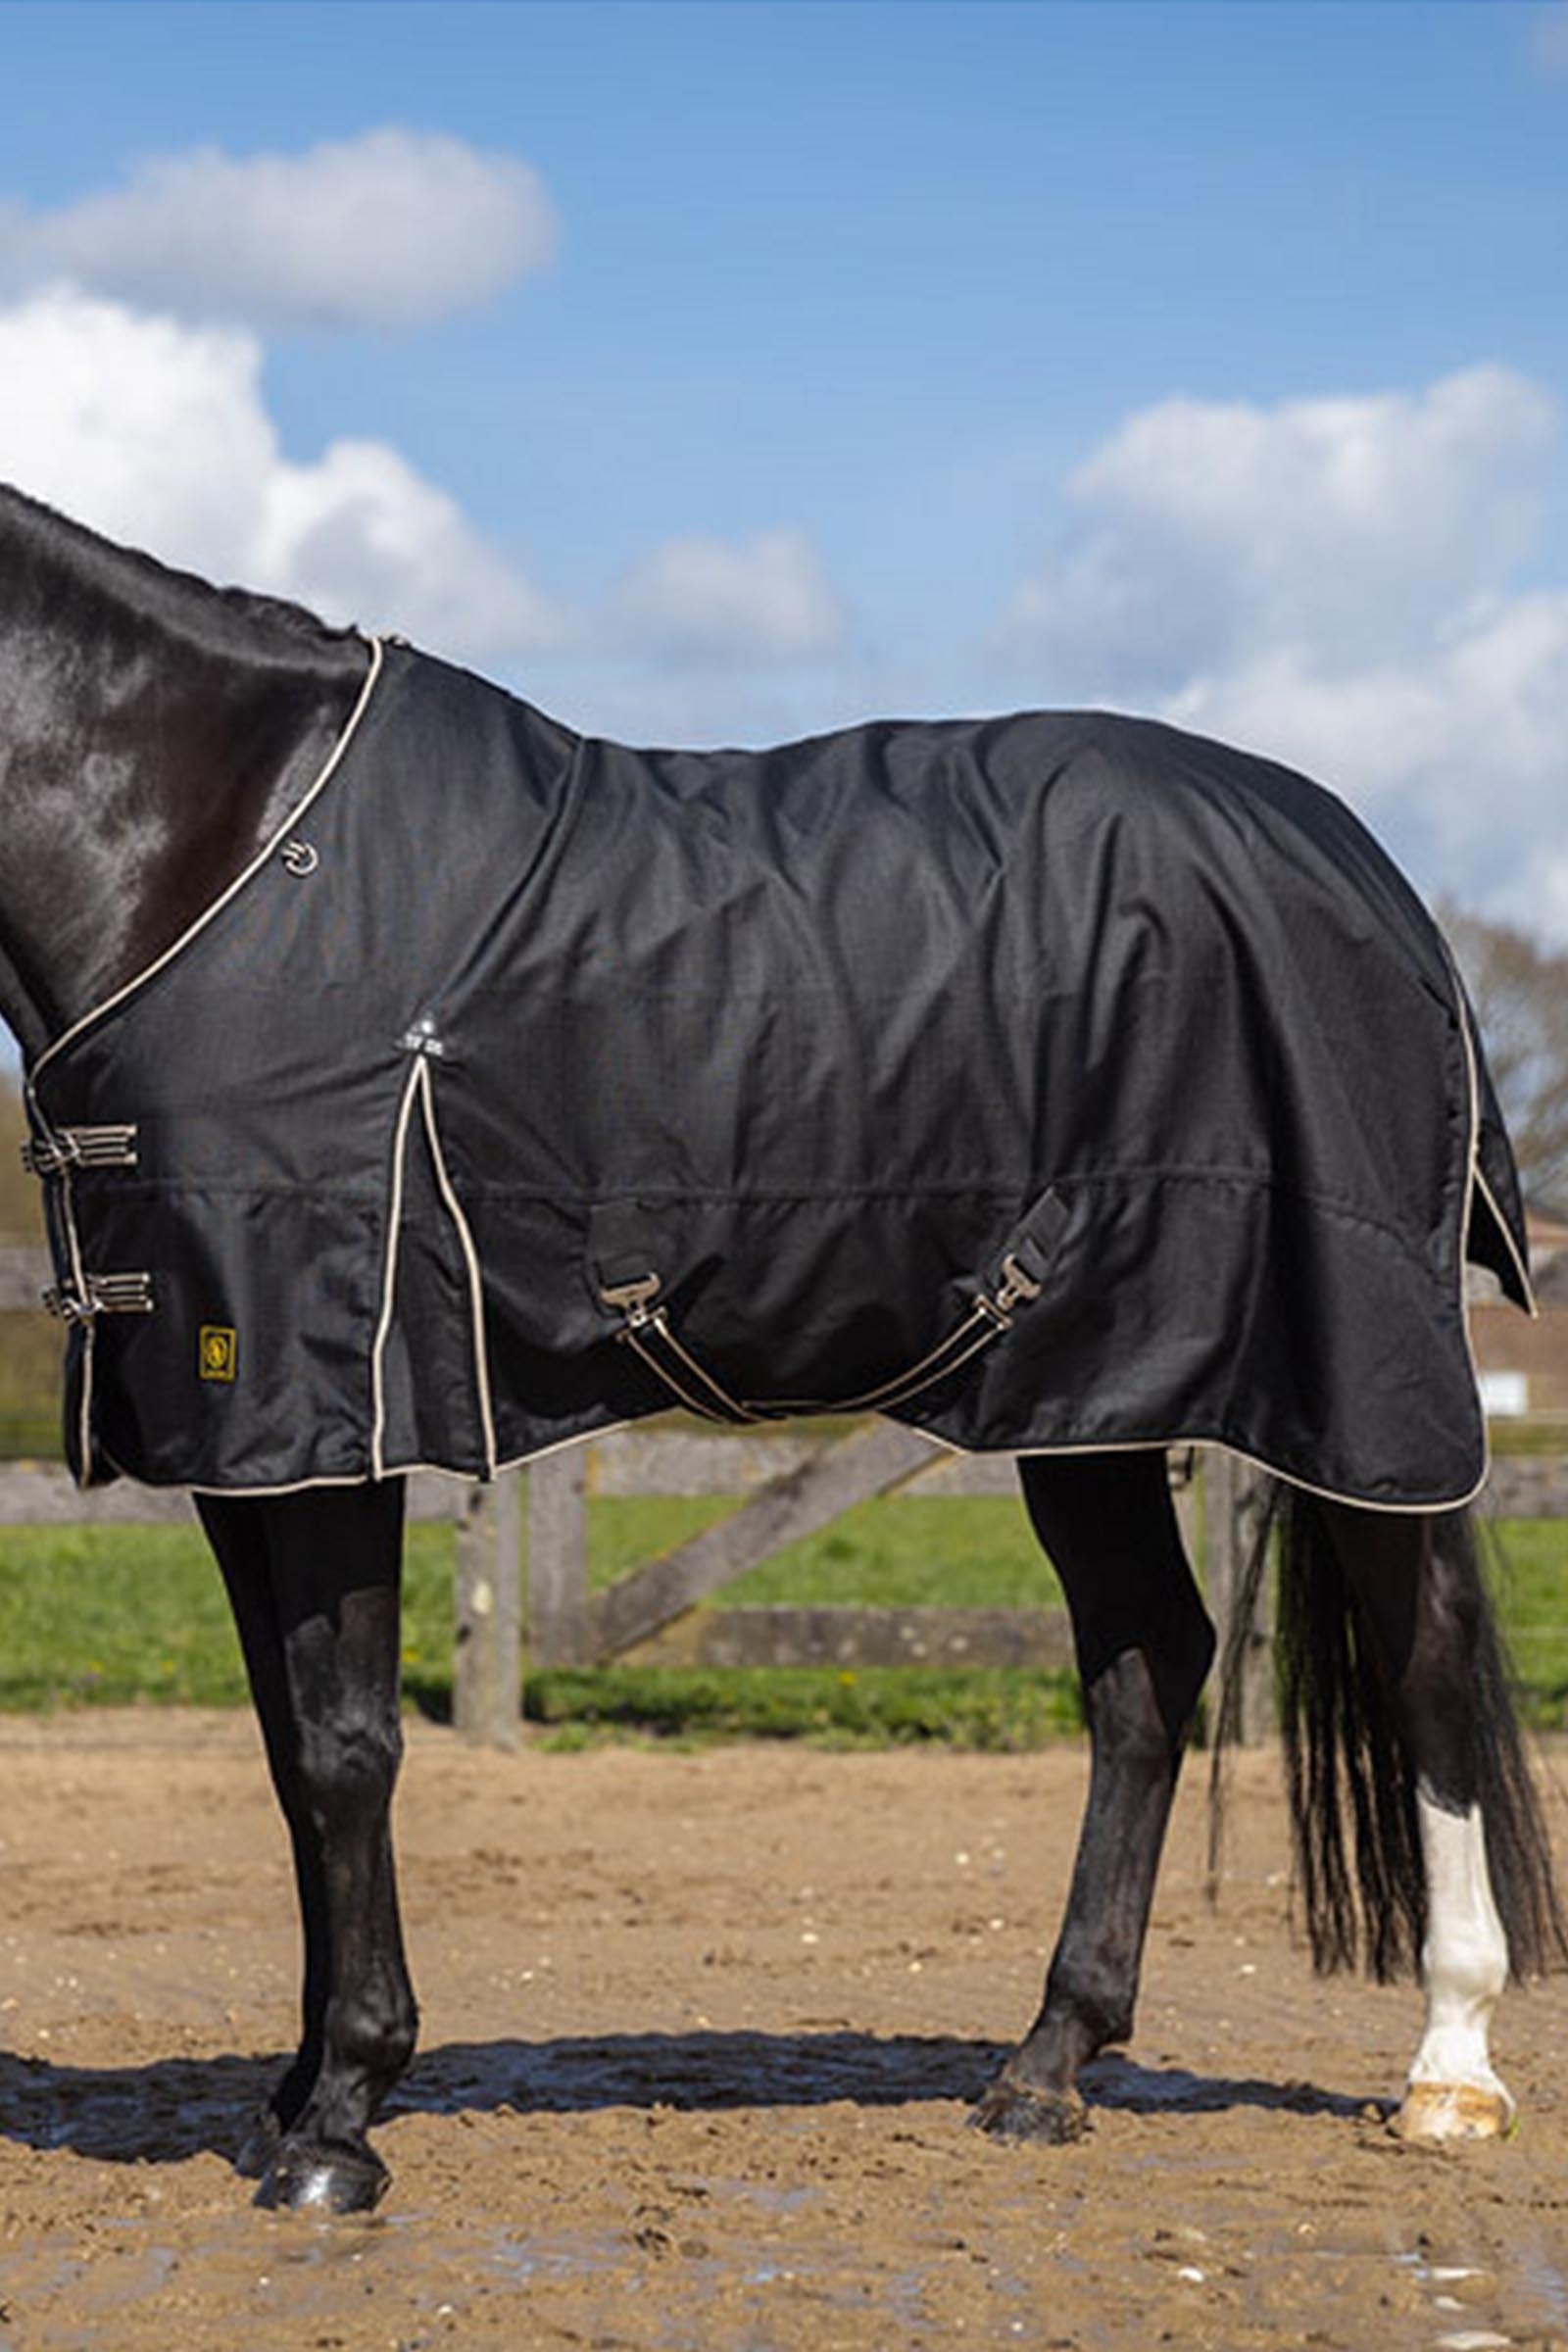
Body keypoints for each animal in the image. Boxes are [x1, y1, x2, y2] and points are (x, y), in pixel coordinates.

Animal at [0, 479, 1558, 2215]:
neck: (218, 844)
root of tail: (1361, 862)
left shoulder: (340, 1401)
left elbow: (345, 1749)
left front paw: (340, 2120)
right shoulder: (237, 1435)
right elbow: (284, 1756)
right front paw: (287, 2101)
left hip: (1343, 1377)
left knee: (1425, 1659)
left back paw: (1449, 2070)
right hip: (1086, 1389)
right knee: (1151, 1665)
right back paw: (1047, 2067)